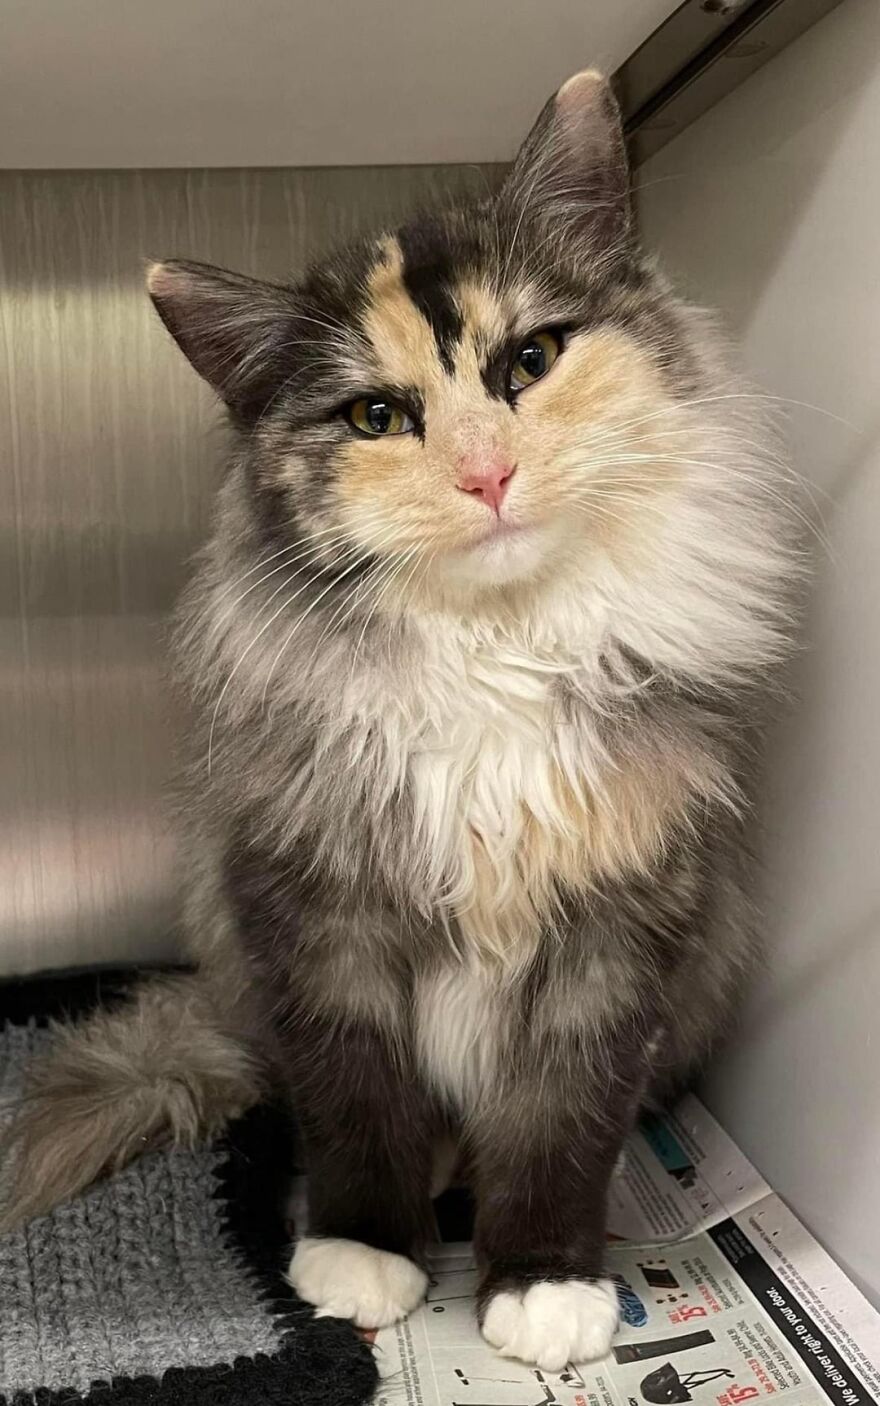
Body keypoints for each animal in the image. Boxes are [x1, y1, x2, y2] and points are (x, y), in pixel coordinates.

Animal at [1, 71, 792, 1366]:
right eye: (375, 417)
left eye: (530, 359)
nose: (485, 476)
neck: (494, 659)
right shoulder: (318, 921)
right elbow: (356, 1106)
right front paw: (362, 1255)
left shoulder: (617, 939)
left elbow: (561, 1128)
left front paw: (542, 1282)